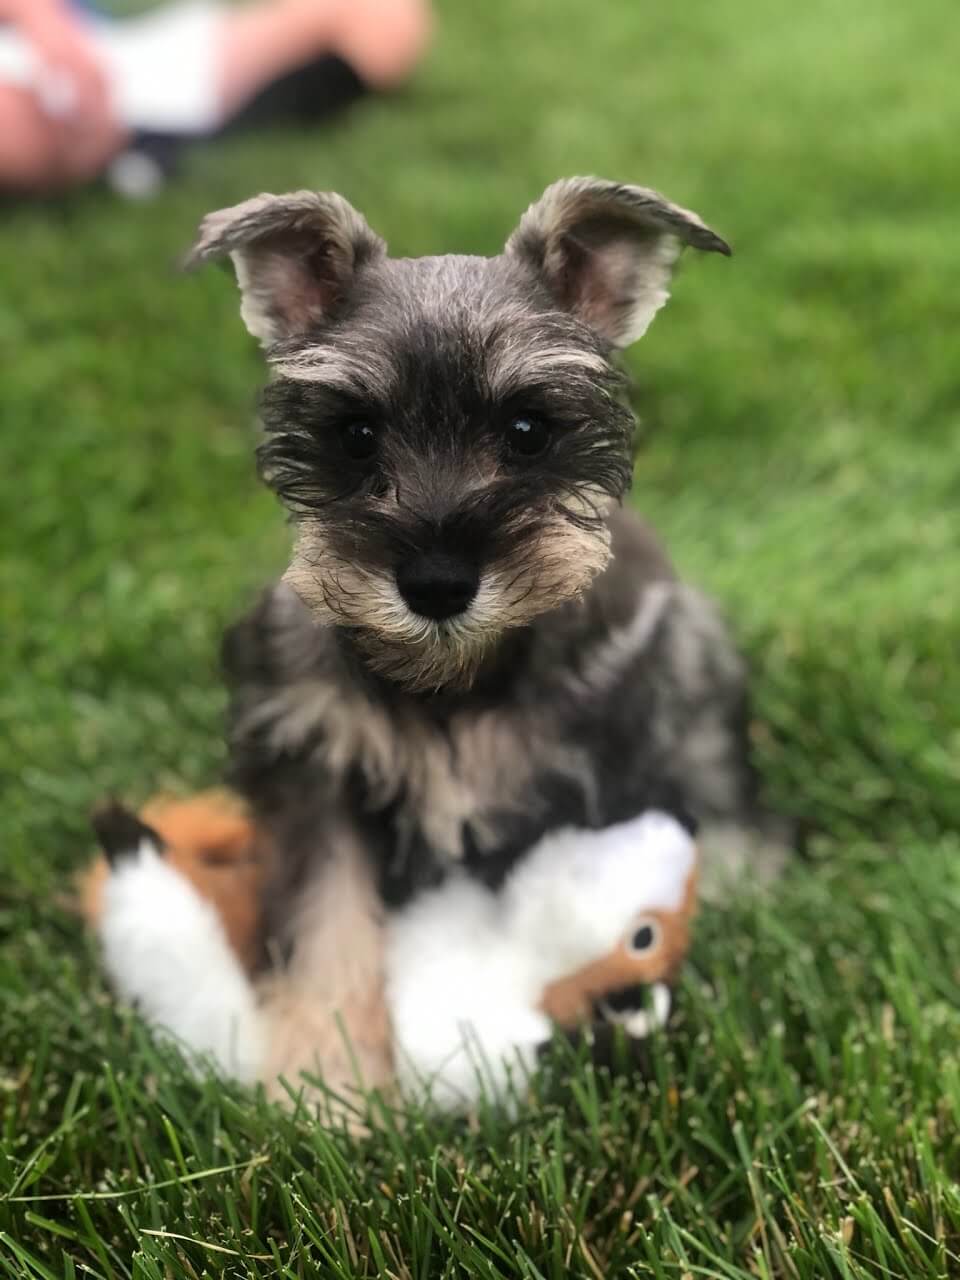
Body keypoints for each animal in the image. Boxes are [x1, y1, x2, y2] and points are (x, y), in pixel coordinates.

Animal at [96, 175, 788, 1105]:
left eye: (527, 429)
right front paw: (327, 1092)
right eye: (356, 434)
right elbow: (327, 931)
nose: (435, 585)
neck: (453, 679)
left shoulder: (586, 773)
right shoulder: (316, 772)